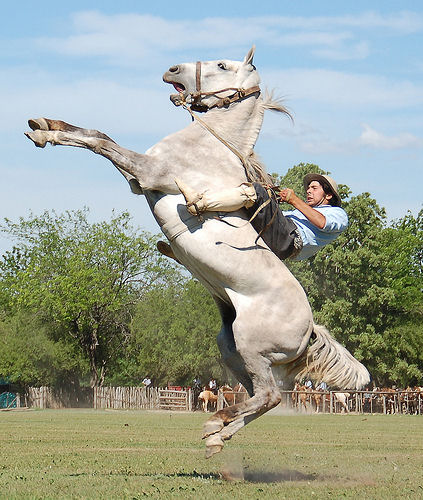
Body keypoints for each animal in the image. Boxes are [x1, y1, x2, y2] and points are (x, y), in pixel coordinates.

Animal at [25, 46, 372, 458]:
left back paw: (216, 425)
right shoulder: (137, 180)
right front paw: (45, 124)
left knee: (269, 396)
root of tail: (310, 330)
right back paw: (217, 434)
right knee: (257, 396)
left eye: (223, 65)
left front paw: (45, 133)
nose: (172, 69)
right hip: (232, 349)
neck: (212, 144)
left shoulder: (148, 173)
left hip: (251, 345)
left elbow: (102, 142)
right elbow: (96, 134)